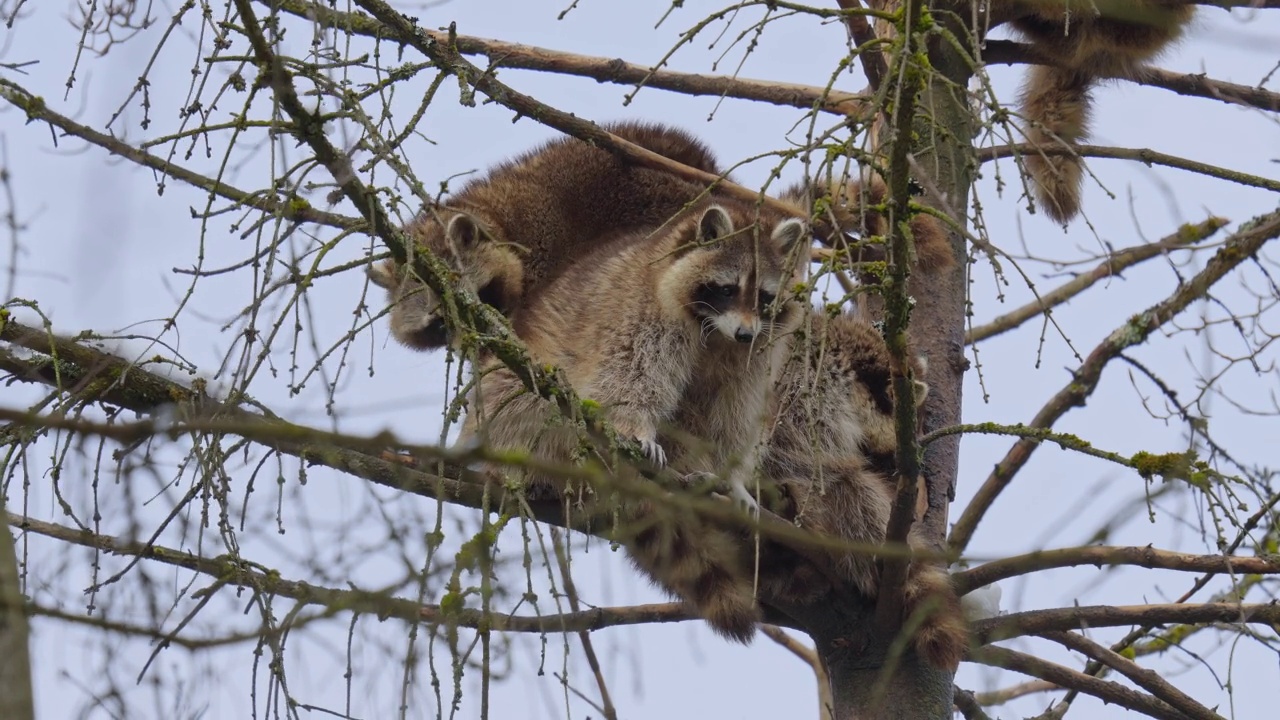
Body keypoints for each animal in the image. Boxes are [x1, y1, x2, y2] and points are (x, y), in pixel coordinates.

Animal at [463, 197, 808, 638]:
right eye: (727, 289)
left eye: (765, 297)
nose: (745, 333)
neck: (714, 332)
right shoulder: (642, 309)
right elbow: (629, 377)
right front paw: (638, 431)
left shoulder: (753, 354)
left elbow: (735, 412)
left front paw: (732, 477)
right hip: (508, 398)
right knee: (533, 399)